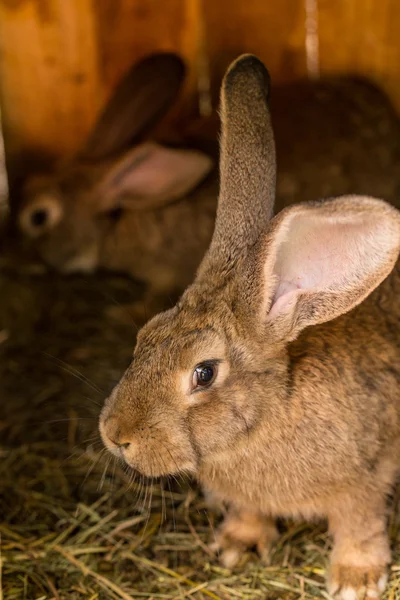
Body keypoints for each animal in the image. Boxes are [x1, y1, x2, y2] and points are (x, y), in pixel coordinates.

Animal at [98, 54, 400, 596]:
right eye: (144, 336)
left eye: (204, 374)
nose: (115, 436)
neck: (264, 420)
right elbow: (248, 514)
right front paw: (234, 547)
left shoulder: (366, 479)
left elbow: (358, 526)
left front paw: (356, 579)